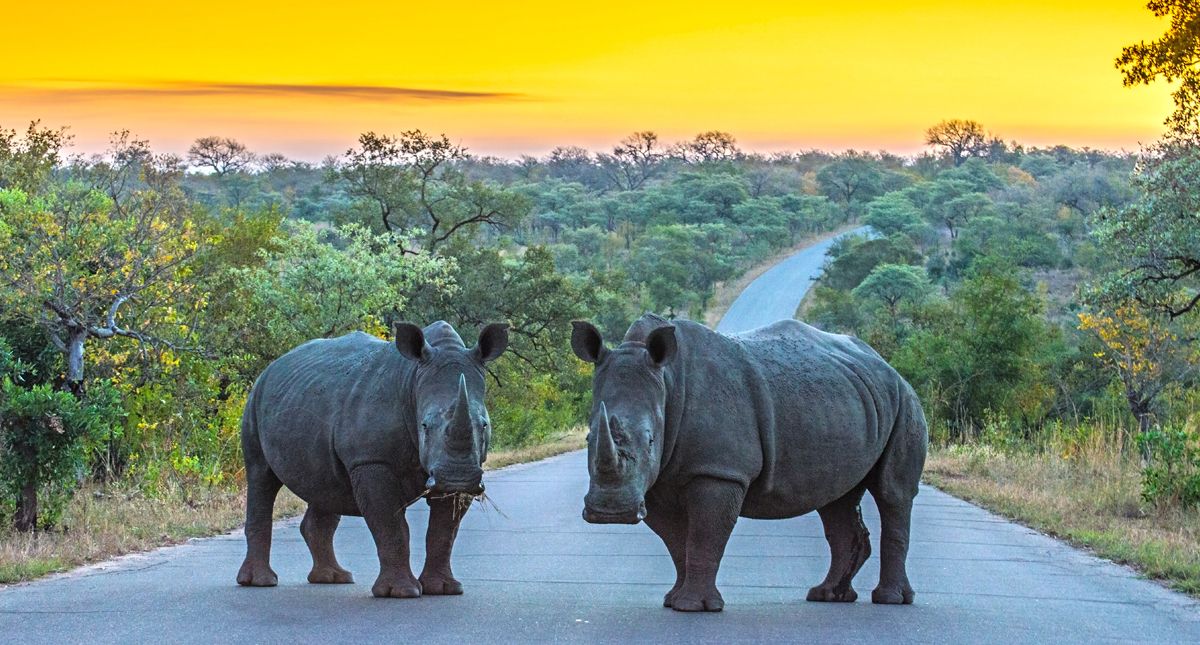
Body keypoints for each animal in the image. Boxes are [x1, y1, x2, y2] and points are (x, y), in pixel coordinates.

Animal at [236, 318, 508, 594]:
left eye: (484, 425)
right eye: (424, 426)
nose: (457, 478)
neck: (412, 381)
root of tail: (271, 367)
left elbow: (444, 531)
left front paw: (443, 589)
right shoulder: (371, 459)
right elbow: (391, 526)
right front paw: (401, 592)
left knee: (324, 486)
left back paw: (333, 577)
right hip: (255, 401)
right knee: (261, 476)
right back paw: (261, 582)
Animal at [571, 314, 926, 609]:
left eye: (649, 440)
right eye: (588, 438)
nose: (610, 513)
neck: (668, 383)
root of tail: (886, 365)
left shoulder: (720, 471)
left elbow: (704, 535)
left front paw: (694, 607)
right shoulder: (656, 481)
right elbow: (675, 540)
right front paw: (673, 600)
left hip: (905, 399)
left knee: (893, 493)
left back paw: (891, 600)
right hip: (848, 401)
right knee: (836, 500)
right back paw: (827, 596)